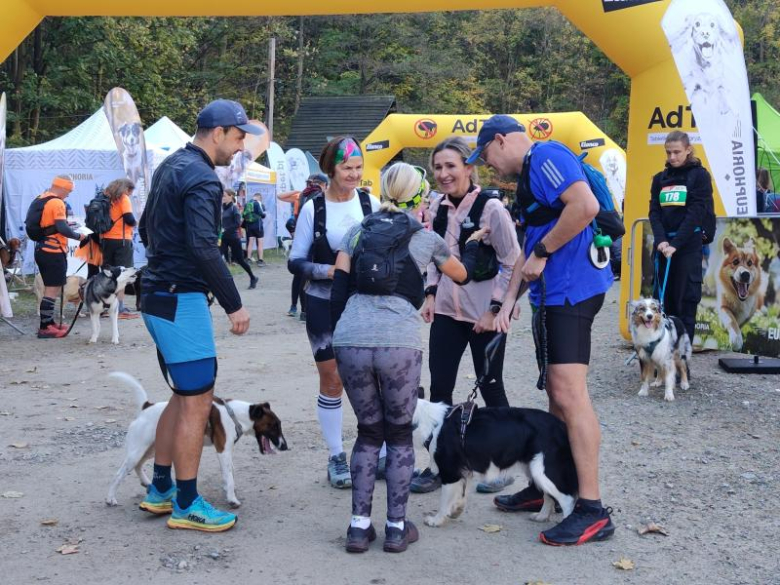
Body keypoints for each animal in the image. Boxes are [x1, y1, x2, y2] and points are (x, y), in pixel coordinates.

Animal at [106, 374, 290, 506]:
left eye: (278, 425)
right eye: (274, 426)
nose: (285, 447)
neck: (235, 415)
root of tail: (146, 407)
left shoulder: (227, 451)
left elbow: (229, 472)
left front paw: (227, 489)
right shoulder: (223, 450)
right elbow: (229, 476)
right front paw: (232, 498)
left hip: (151, 449)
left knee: (138, 465)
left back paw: (146, 483)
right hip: (137, 451)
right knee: (119, 473)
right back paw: (110, 498)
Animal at [412, 400, 576, 528]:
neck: (432, 425)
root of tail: (562, 425)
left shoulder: (450, 472)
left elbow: (444, 501)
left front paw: (436, 520)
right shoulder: (464, 471)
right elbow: (461, 495)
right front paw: (456, 511)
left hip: (543, 469)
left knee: (568, 500)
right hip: (535, 470)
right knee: (549, 495)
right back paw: (541, 516)